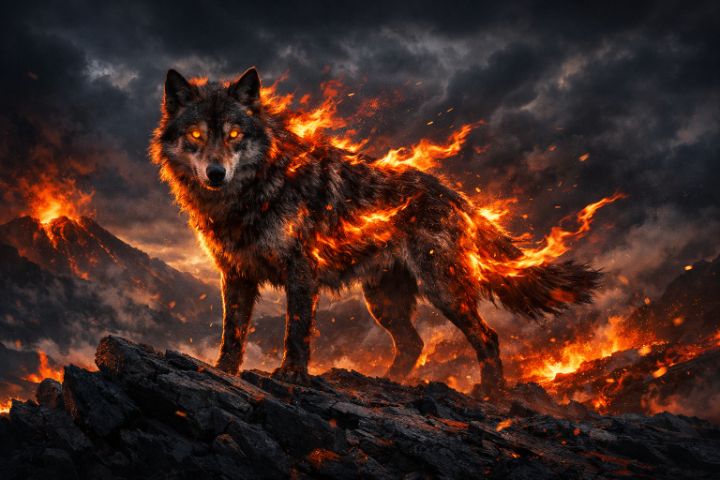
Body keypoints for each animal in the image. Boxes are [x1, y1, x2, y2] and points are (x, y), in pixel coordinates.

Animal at [150, 67, 600, 391]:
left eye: (234, 135)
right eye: (196, 135)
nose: (215, 173)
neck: (252, 191)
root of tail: (455, 195)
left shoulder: (301, 271)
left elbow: (296, 330)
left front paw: (292, 374)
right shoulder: (236, 274)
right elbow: (233, 332)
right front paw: (223, 371)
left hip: (443, 290)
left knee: (487, 338)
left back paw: (490, 397)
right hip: (383, 300)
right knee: (414, 344)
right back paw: (389, 382)